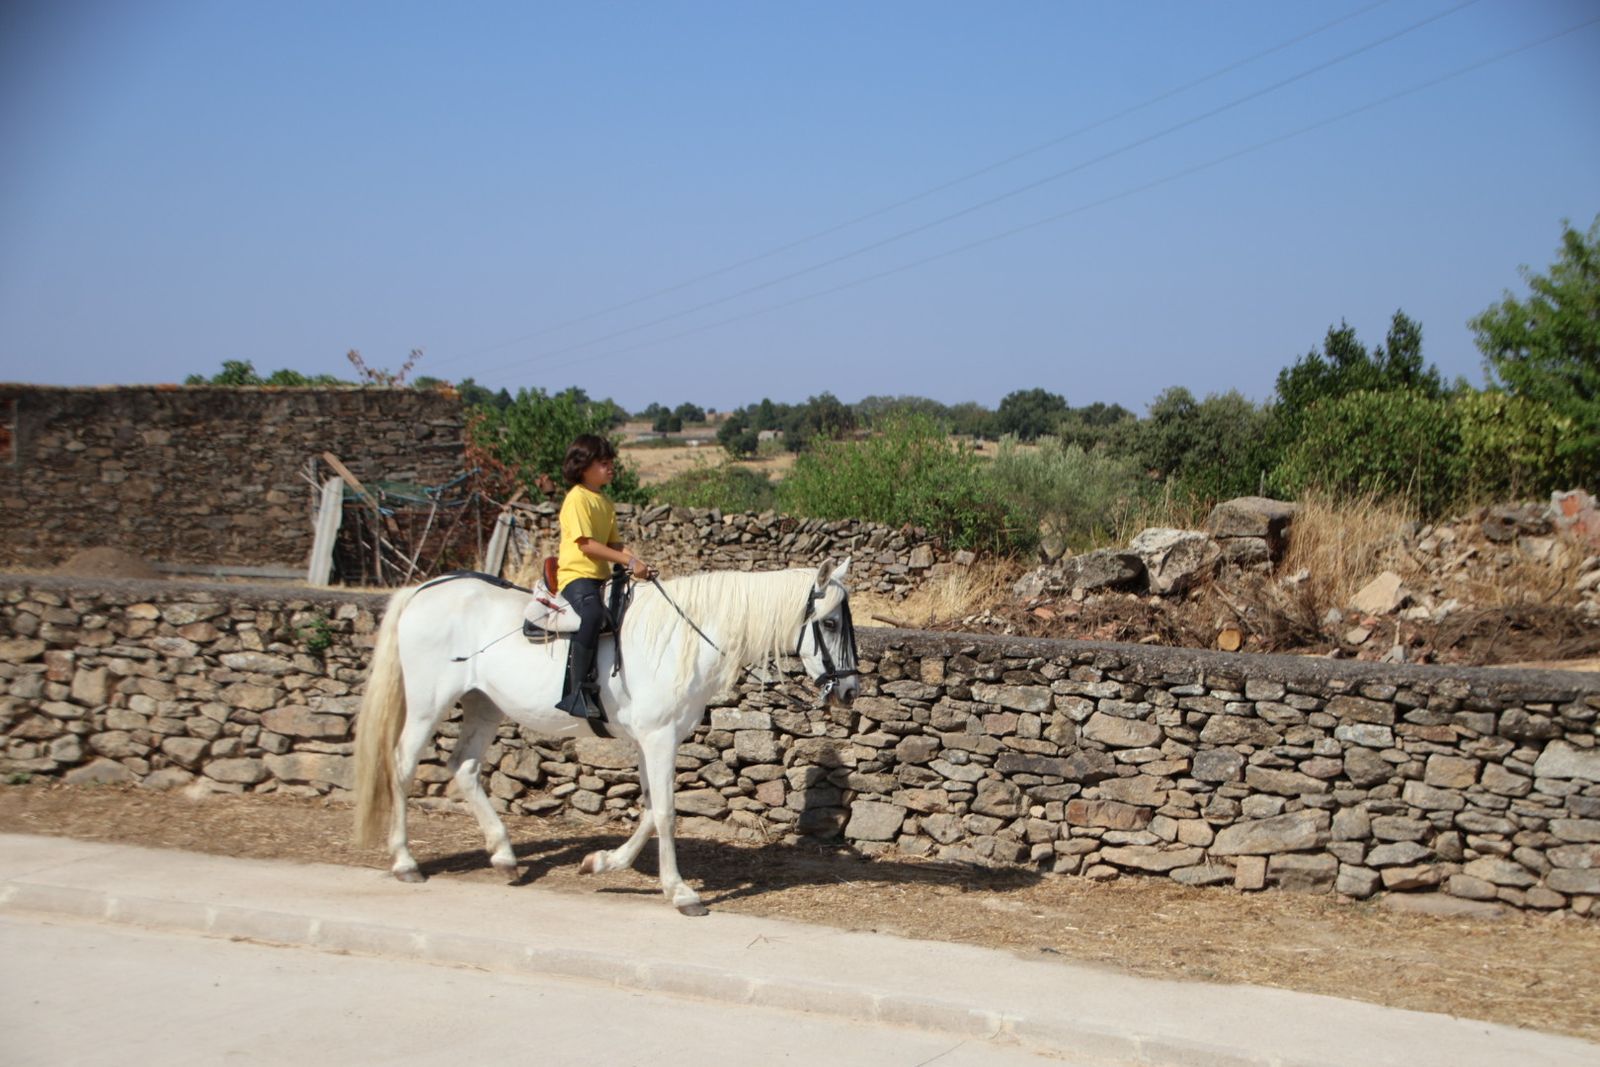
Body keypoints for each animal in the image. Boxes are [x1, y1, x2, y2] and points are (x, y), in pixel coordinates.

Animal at [352, 558, 861, 916]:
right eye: (830, 623)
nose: (850, 690)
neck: (683, 639)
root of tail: (423, 590)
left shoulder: (649, 741)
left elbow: (650, 812)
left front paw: (603, 862)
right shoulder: (658, 739)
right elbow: (666, 813)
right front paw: (681, 893)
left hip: (483, 704)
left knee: (465, 766)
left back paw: (504, 855)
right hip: (428, 703)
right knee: (402, 766)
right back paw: (405, 862)